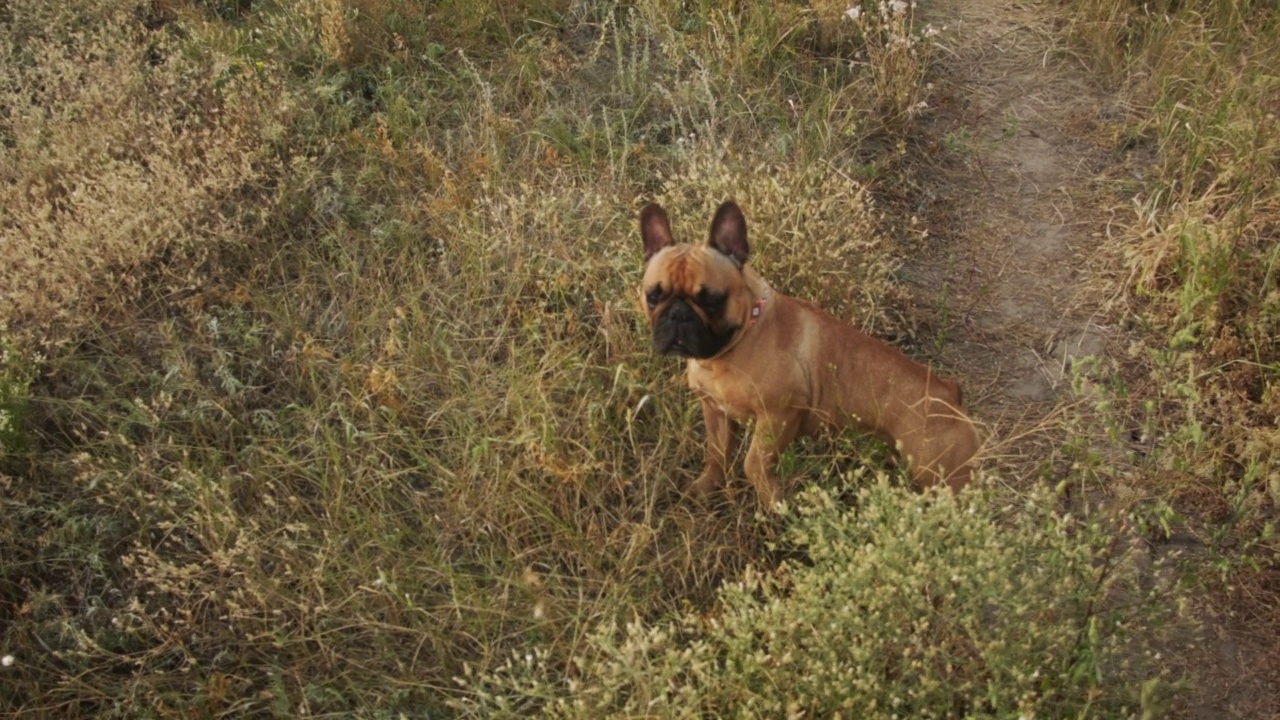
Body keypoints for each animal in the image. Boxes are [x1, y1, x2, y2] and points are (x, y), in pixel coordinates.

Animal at [640, 198, 977, 507]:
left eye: (711, 301)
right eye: (653, 296)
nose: (677, 314)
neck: (732, 347)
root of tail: (950, 393)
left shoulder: (779, 416)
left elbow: (754, 463)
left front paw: (775, 503)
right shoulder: (715, 412)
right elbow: (716, 454)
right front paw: (705, 487)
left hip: (941, 475)